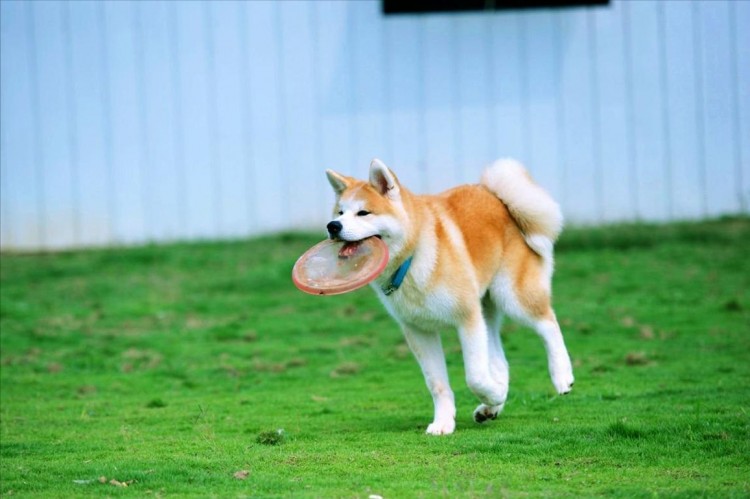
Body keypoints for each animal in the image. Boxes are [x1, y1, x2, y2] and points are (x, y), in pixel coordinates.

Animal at [324, 158, 576, 436]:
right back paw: (490, 408)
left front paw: (494, 394)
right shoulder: (419, 331)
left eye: (363, 213)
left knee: (548, 324)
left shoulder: (467, 319)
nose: (333, 227)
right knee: (501, 362)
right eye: (340, 213)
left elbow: (475, 376)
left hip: (512, 297)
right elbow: (437, 384)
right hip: (486, 311)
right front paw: (444, 422)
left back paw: (561, 376)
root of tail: (496, 196)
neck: (413, 258)